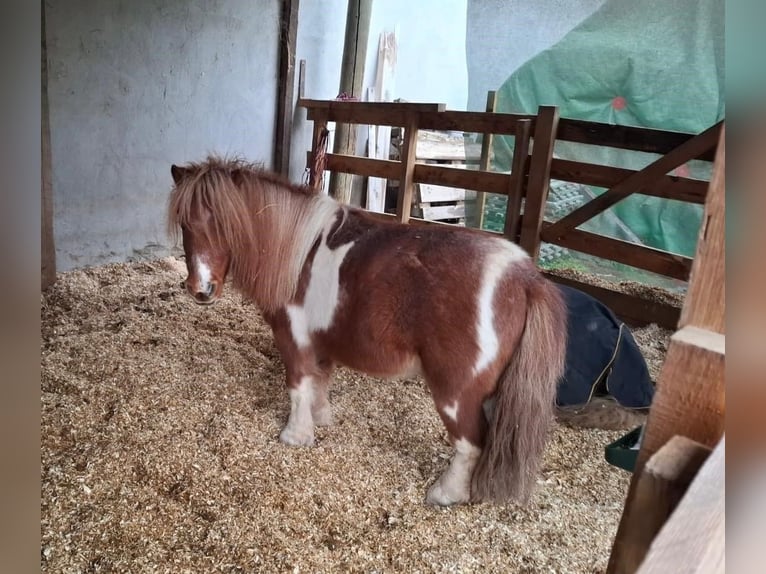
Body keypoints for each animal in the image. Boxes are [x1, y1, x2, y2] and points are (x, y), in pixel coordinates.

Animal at [170, 158, 568, 508]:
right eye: (185, 224)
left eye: (225, 224)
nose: (200, 289)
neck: (298, 254)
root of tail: (525, 278)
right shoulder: (321, 341)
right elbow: (319, 383)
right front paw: (320, 419)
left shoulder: (293, 337)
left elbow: (298, 386)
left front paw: (295, 436)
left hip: (457, 393)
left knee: (471, 444)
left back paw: (445, 494)